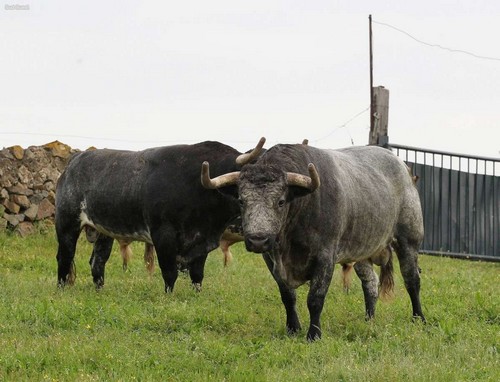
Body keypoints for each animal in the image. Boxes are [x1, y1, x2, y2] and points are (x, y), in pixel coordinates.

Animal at [54, 139, 264, 290]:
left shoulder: (201, 241)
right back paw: (61, 289)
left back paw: (100, 289)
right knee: (64, 257)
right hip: (66, 224)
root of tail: (76, 159)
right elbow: (169, 272)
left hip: (104, 232)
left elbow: (197, 275)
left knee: (97, 260)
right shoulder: (163, 235)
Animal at [203, 143, 426, 340]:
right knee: (371, 284)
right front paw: (293, 328)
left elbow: (315, 299)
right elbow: (288, 296)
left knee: (412, 280)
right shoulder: (271, 259)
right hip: (362, 252)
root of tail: (403, 167)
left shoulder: (325, 257)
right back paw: (369, 320)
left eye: (280, 201)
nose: (258, 240)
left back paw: (419, 319)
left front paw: (314, 334)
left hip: (409, 240)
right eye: (242, 200)